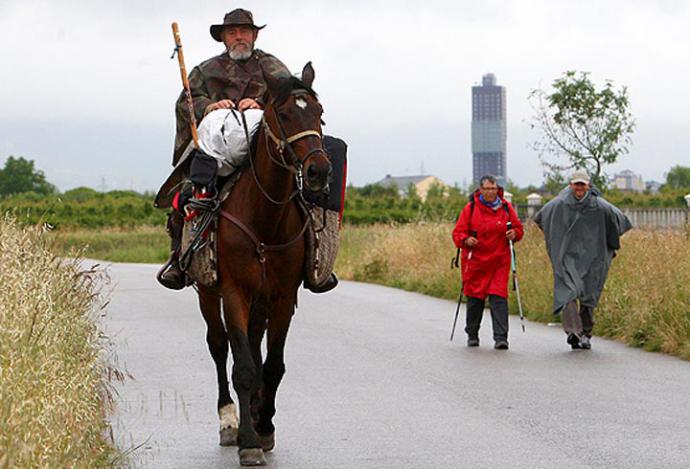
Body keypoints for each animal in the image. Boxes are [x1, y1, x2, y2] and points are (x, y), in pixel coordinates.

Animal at [195, 63, 332, 464]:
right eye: (283, 114)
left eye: (319, 113)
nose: (319, 171)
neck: (264, 222)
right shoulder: (233, 293)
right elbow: (241, 366)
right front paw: (248, 441)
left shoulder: (284, 296)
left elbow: (272, 366)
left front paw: (265, 425)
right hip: (208, 294)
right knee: (218, 345)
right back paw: (229, 419)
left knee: (255, 344)